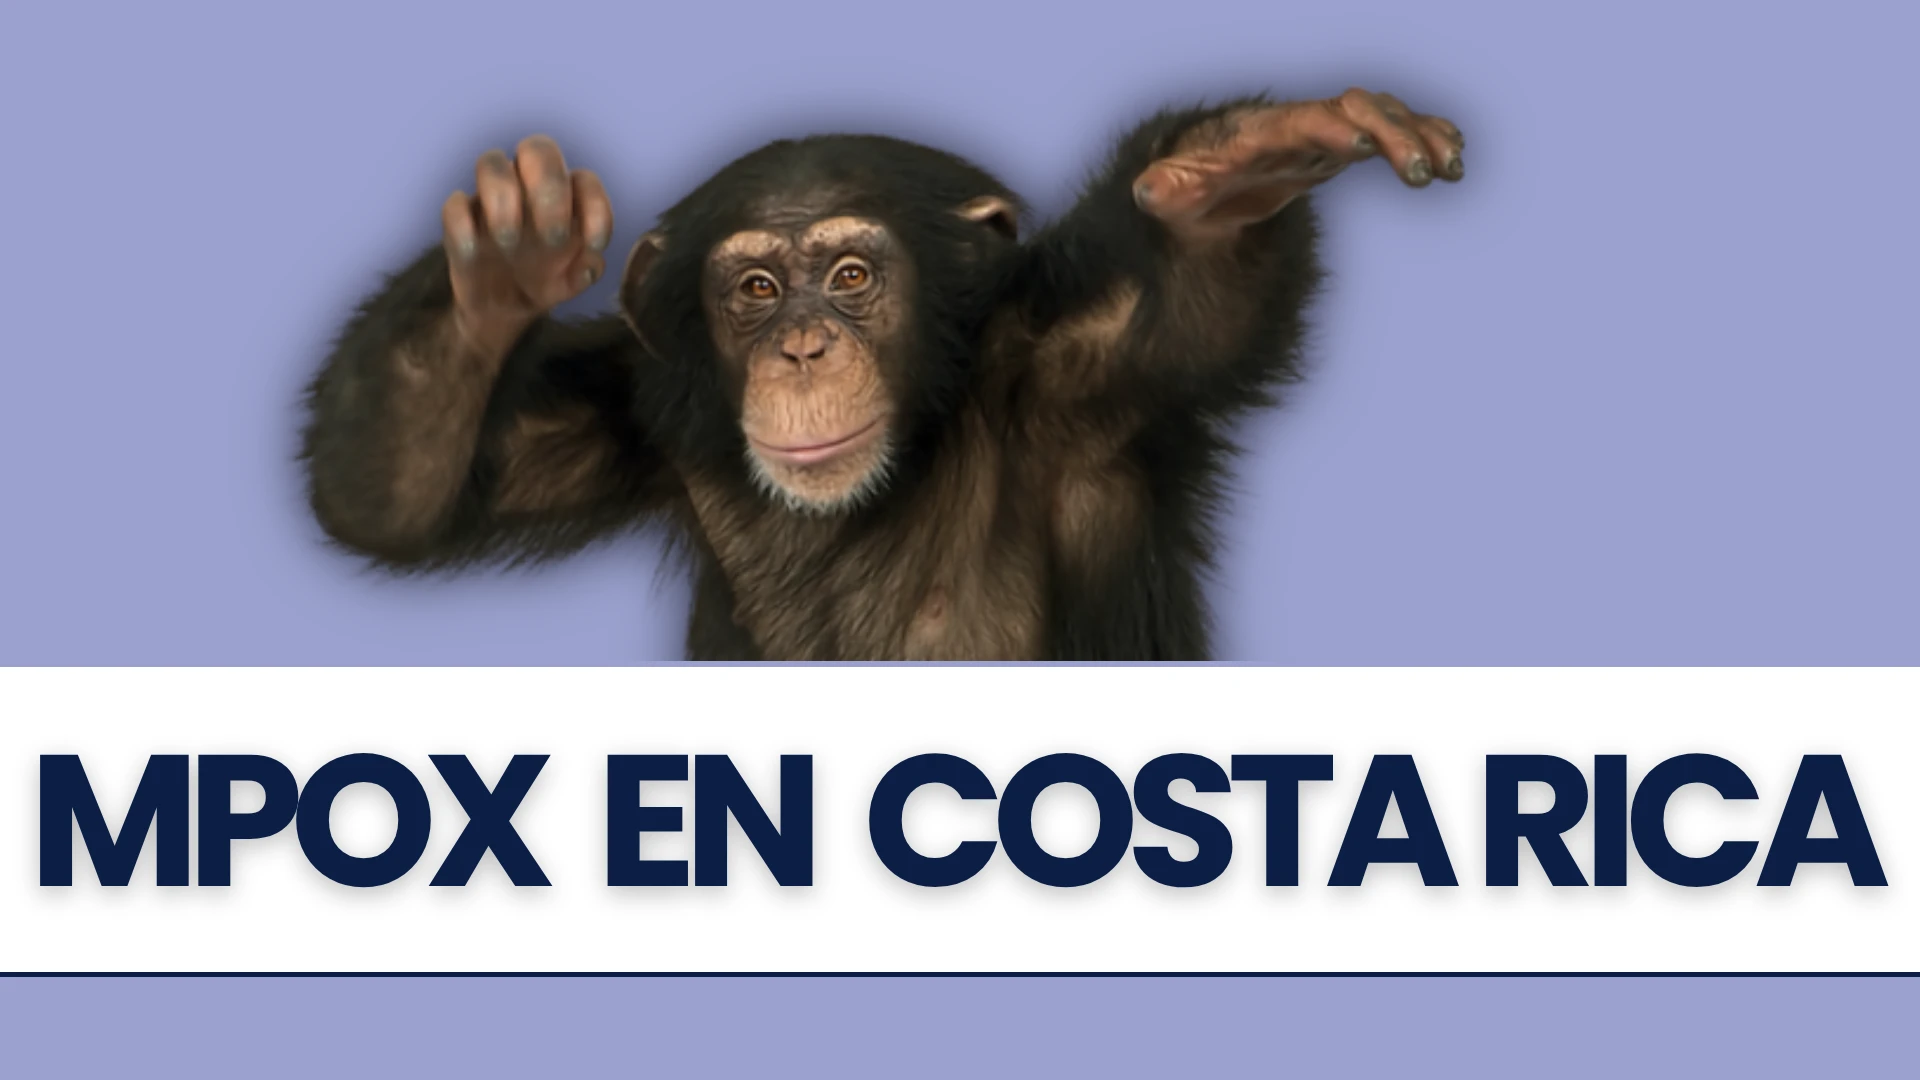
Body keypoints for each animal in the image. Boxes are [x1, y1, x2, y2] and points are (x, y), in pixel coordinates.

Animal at [301, 88, 1465, 660]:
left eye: (853, 276)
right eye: (757, 288)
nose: (804, 347)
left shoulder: (1084, 364)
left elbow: (1191, 294)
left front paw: (1226, 171)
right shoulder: (642, 406)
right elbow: (398, 494)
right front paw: (501, 267)